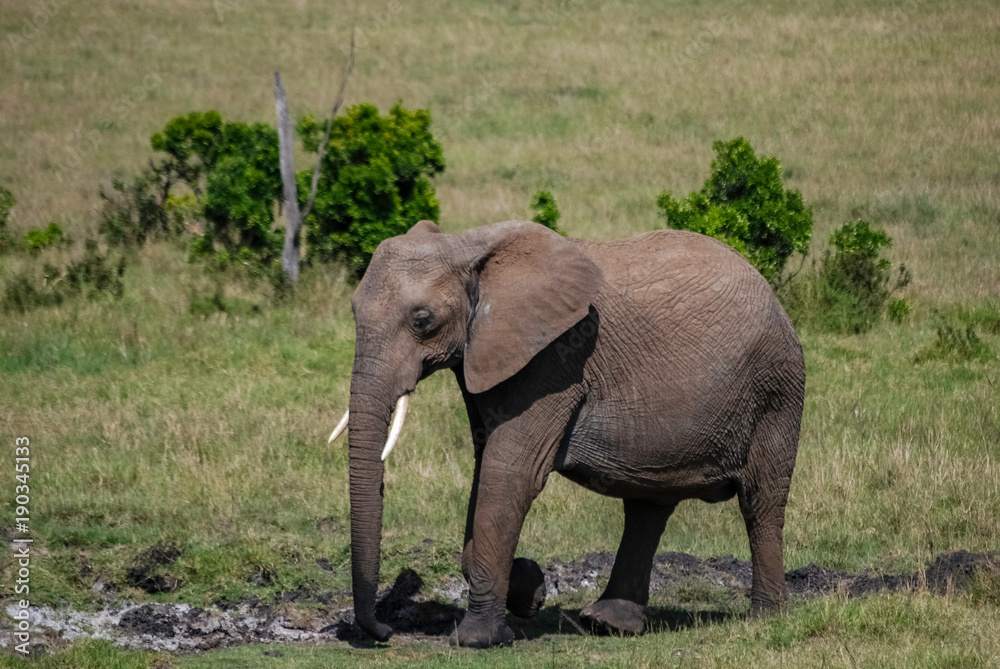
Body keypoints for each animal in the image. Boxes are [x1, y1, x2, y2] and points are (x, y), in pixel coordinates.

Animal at [329, 219, 805, 648]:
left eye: (422, 320)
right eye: (351, 312)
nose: (385, 632)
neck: (469, 245)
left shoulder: (556, 361)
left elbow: (509, 472)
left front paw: (478, 639)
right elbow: (486, 467)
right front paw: (532, 589)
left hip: (775, 389)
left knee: (760, 501)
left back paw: (765, 619)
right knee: (648, 506)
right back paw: (610, 624)